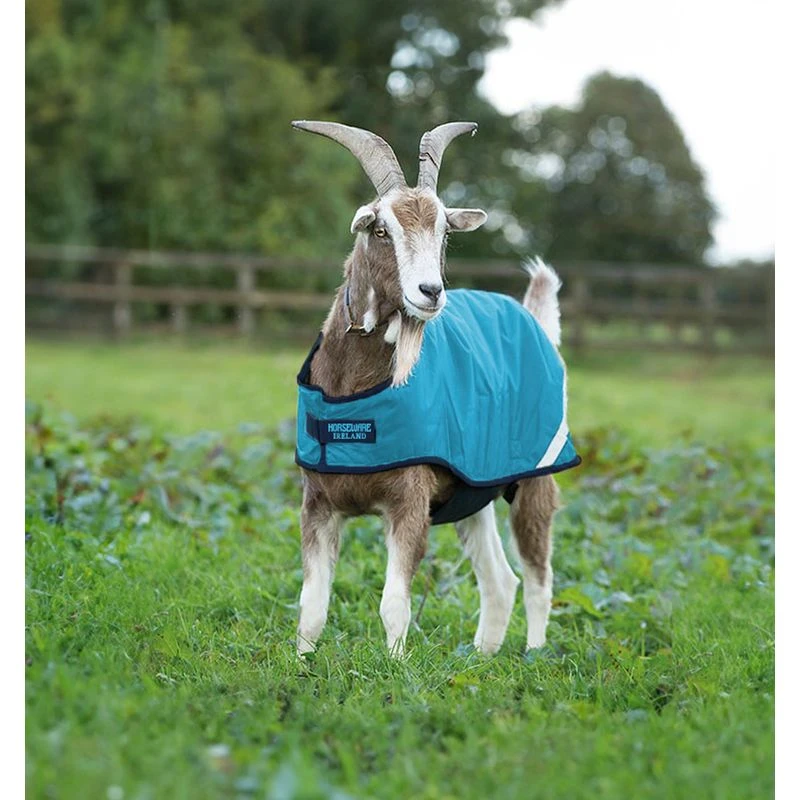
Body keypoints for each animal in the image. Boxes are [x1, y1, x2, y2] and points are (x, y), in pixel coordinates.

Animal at [291, 120, 580, 656]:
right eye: (381, 229)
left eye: (445, 232)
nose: (431, 292)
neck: (354, 395)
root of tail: (535, 322)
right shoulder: (317, 502)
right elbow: (312, 606)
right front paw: (300, 665)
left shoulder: (410, 499)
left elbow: (393, 605)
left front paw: (394, 668)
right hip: (475, 487)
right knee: (500, 581)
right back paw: (482, 659)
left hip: (536, 475)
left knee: (538, 576)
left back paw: (533, 656)